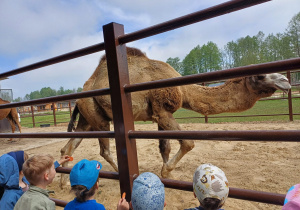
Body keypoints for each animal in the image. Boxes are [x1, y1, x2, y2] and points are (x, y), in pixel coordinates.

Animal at [59, 46, 290, 185]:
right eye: (260, 75)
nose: (286, 82)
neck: (183, 88)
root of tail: (81, 93)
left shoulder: (160, 114)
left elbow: (165, 147)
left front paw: (169, 175)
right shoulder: (163, 110)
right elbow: (188, 142)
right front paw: (165, 171)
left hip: (87, 117)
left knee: (69, 145)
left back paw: (64, 181)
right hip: (97, 116)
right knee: (104, 149)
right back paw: (119, 174)